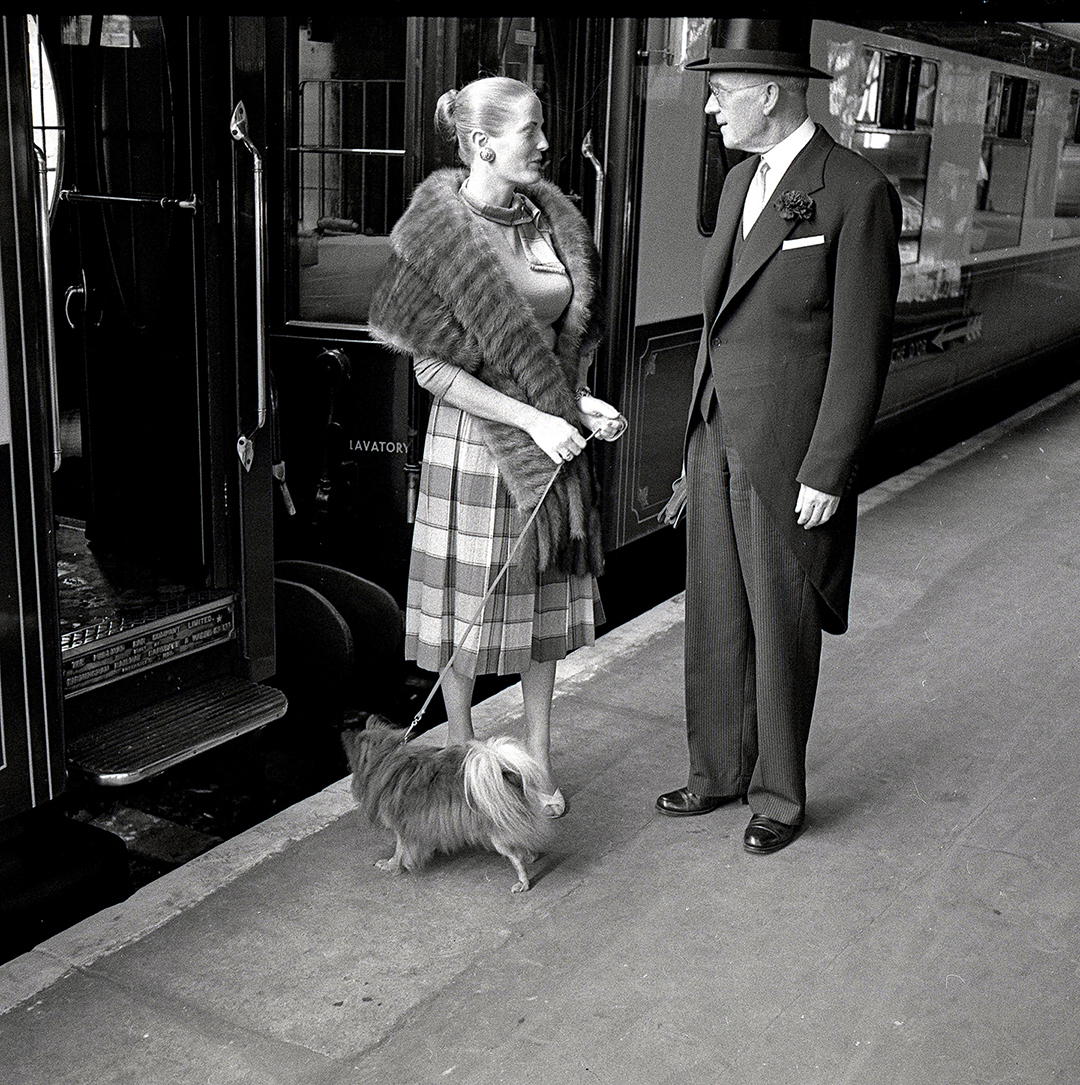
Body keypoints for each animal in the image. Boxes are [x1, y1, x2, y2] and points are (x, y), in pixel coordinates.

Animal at [340, 716, 555, 894]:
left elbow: (400, 851)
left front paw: (392, 865)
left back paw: (523, 882)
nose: (345, 733)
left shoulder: (403, 828)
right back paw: (531, 856)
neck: (384, 760)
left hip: (497, 835)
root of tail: (504, 772)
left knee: (515, 857)